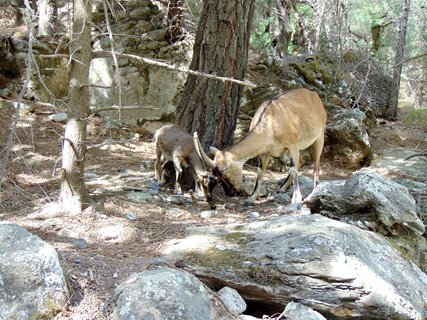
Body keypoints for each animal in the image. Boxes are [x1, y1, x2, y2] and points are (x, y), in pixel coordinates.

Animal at [194, 89, 328, 206]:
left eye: (224, 174)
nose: (231, 193)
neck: (271, 124)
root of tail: (315, 95)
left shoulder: (292, 144)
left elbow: (293, 170)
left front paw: (296, 199)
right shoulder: (265, 152)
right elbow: (260, 174)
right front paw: (250, 199)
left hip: (320, 134)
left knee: (316, 164)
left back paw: (315, 189)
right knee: (300, 162)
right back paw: (282, 188)